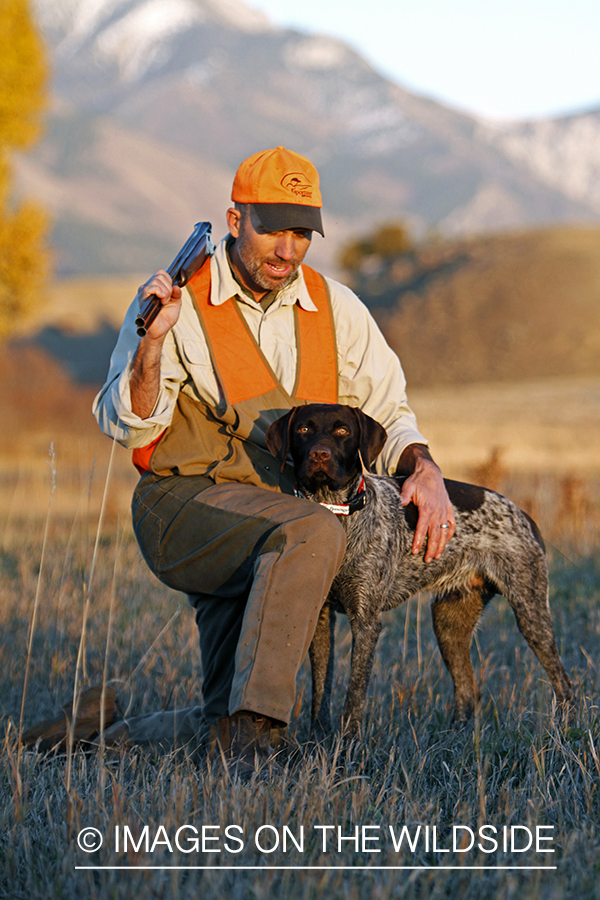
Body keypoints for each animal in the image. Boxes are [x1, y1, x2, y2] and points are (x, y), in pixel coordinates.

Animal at [266, 404, 572, 736]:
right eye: (303, 430)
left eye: (343, 431)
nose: (319, 455)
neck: (336, 511)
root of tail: (522, 513)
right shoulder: (320, 617)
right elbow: (321, 689)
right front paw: (318, 741)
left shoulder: (365, 620)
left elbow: (354, 695)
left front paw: (347, 744)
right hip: (449, 622)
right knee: (468, 689)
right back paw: (455, 737)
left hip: (531, 612)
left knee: (564, 683)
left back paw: (564, 729)